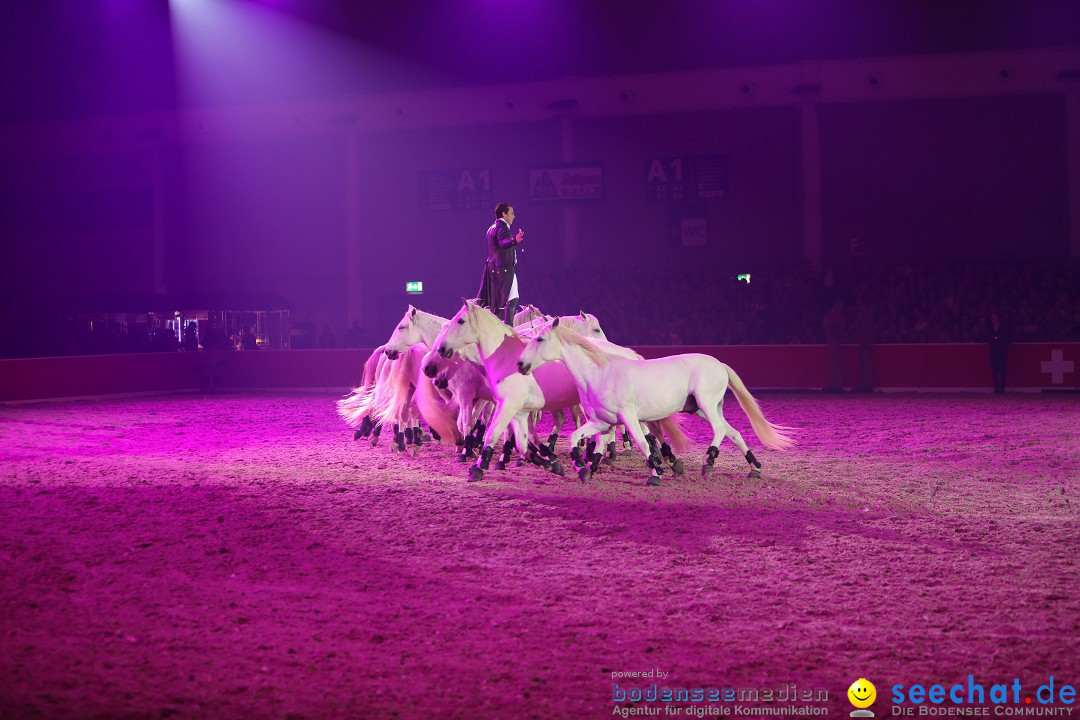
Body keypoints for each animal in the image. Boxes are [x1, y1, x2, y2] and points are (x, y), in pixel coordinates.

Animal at [516, 319, 794, 483]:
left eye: (539, 339)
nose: (520, 364)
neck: (600, 372)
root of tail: (719, 364)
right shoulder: (601, 422)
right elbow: (583, 439)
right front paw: (584, 467)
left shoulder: (628, 417)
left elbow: (641, 442)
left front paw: (655, 473)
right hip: (705, 408)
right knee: (732, 432)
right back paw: (754, 468)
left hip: (706, 405)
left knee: (719, 431)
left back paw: (709, 463)